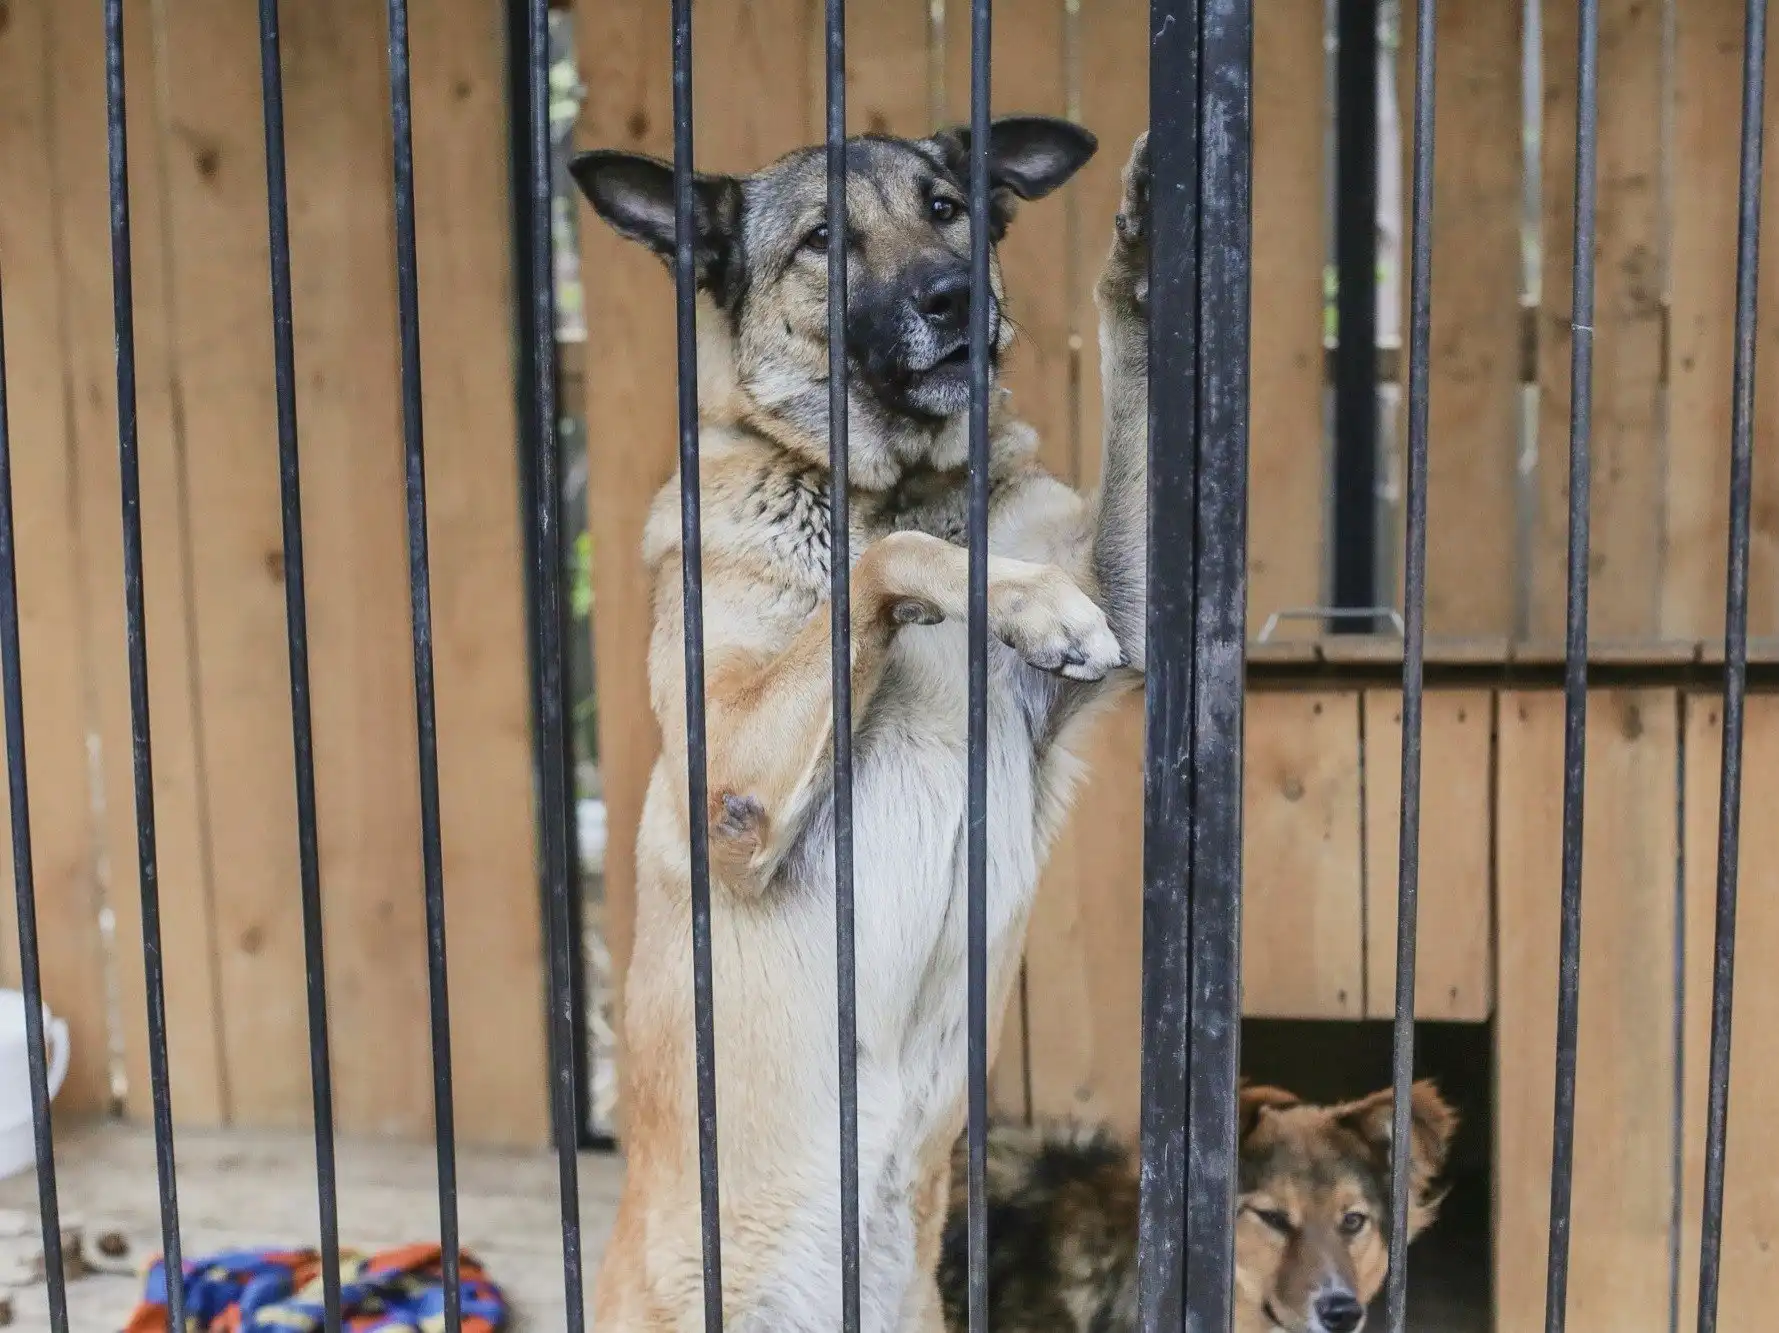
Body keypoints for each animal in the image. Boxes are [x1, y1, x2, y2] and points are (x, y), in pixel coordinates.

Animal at [567, 120, 1155, 1330]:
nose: (952, 293)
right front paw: (1024, 600)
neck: (897, 482)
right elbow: (892, 561)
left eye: (945, 207)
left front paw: (1138, 258)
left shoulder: (1126, 597)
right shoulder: (732, 795)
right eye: (823, 239)